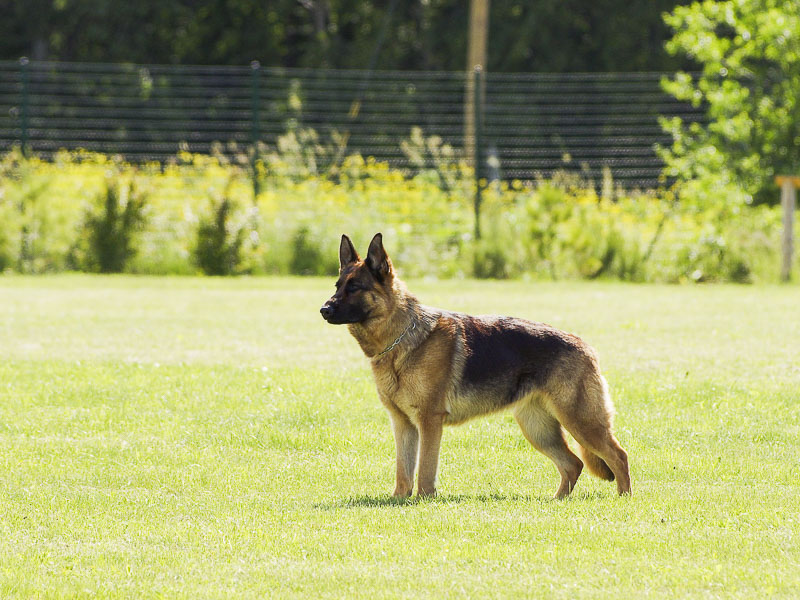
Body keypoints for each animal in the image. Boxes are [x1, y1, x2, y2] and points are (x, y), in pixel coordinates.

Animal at [320, 233, 632, 496]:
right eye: (337, 286)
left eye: (354, 288)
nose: (324, 309)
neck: (402, 338)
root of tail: (586, 346)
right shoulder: (403, 425)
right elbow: (403, 473)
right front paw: (399, 500)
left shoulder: (429, 421)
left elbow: (425, 471)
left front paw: (423, 500)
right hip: (538, 429)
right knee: (573, 464)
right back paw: (557, 501)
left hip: (581, 422)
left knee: (619, 456)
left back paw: (623, 499)